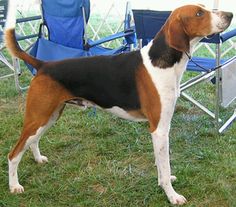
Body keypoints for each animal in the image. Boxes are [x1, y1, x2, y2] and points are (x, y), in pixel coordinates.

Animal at [4, 0, 233, 205]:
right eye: (199, 14)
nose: (230, 15)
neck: (162, 63)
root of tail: (43, 64)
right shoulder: (160, 129)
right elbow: (165, 164)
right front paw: (172, 195)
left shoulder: (159, 130)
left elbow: (161, 164)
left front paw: (164, 181)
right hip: (38, 117)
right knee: (13, 153)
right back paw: (14, 186)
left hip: (49, 116)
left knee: (33, 141)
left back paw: (38, 159)